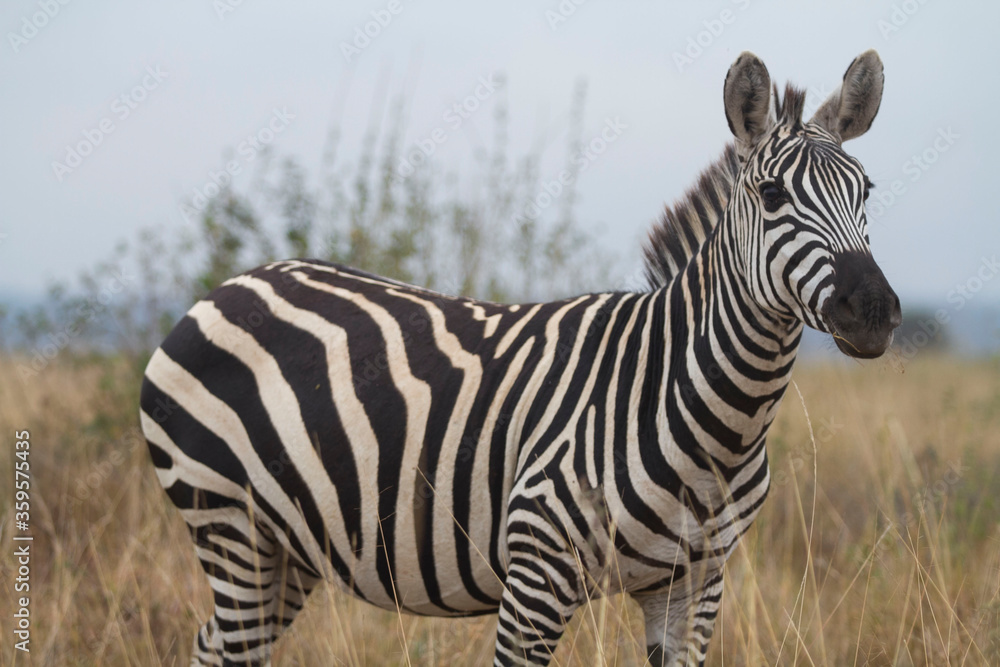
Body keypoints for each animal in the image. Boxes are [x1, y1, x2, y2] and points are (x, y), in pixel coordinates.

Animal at [141, 50, 900, 666]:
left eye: (866, 192)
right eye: (772, 196)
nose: (874, 312)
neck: (714, 422)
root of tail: (228, 286)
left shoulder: (694, 584)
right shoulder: (537, 574)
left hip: (289, 546)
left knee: (215, 646)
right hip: (228, 521)